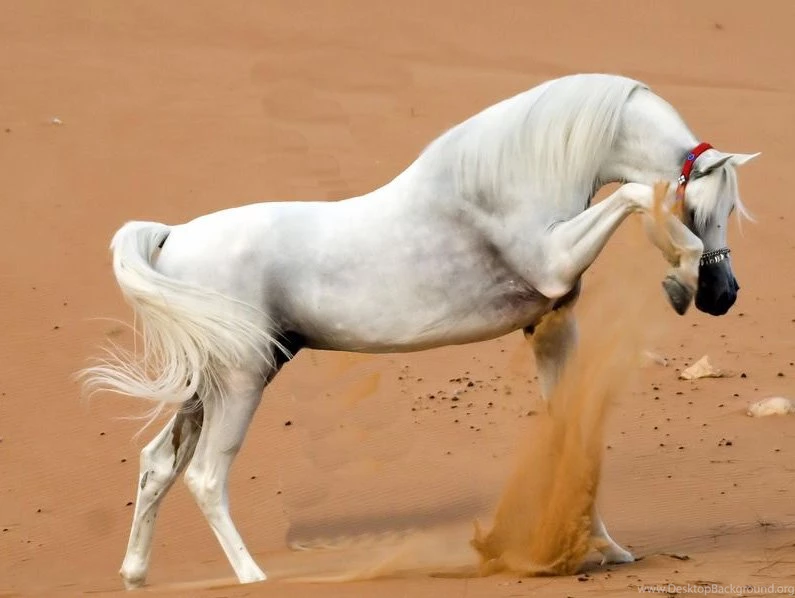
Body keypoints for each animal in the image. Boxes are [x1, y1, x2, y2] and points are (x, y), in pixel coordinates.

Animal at [80, 73, 759, 588]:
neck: (516, 172)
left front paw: (606, 550)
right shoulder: (554, 261)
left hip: (208, 387)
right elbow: (638, 196)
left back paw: (135, 574)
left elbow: (573, 439)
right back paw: (252, 578)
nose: (722, 296)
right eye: (705, 207)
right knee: (204, 477)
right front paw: (677, 274)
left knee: (157, 464)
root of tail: (172, 236)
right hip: (243, 382)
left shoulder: (549, 324)